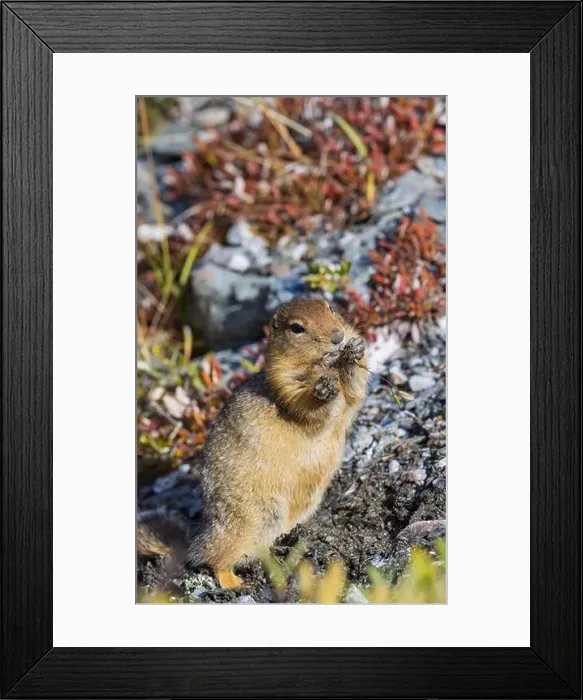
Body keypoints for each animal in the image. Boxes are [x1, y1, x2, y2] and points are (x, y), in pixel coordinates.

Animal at [138, 297, 368, 590]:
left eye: (330, 308)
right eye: (296, 328)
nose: (338, 336)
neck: (324, 364)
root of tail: (197, 538)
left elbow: (355, 392)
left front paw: (355, 350)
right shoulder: (284, 381)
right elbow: (308, 406)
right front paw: (324, 389)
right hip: (248, 520)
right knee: (215, 559)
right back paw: (233, 582)